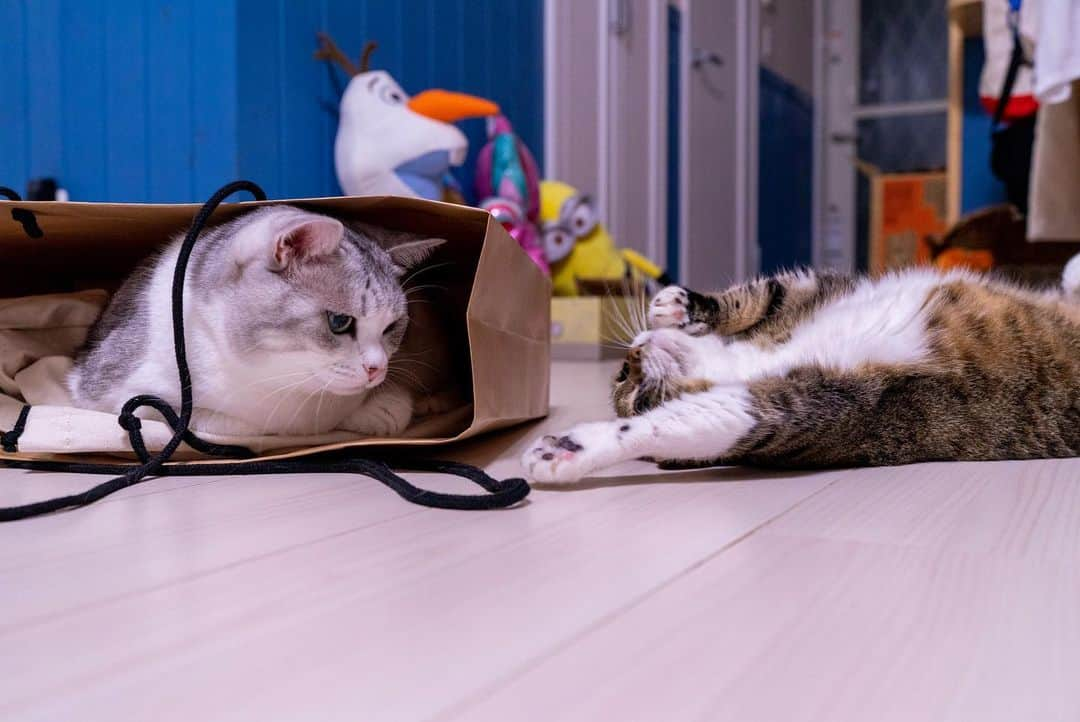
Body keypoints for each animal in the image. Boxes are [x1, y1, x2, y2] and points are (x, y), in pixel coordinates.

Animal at [66, 205, 455, 436]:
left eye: (391, 327)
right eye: (339, 322)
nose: (377, 369)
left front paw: (387, 405)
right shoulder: (112, 393)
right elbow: (239, 425)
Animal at [520, 255, 1080, 481]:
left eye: (622, 378)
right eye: (632, 392)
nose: (628, 358)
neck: (755, 358)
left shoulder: (815, 292)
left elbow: (764, 292)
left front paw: (676, 304)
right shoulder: (808, 406)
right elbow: (681, 424)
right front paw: (568, 448)